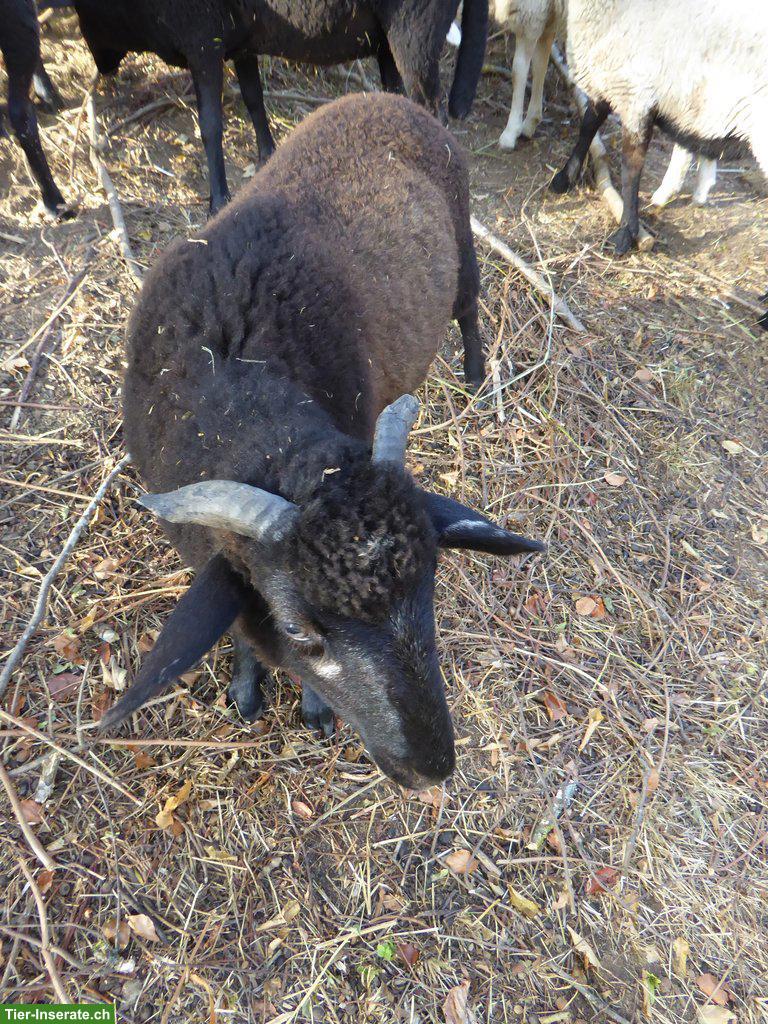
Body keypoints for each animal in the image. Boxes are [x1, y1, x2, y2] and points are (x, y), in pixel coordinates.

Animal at [67, 0, 489, 215]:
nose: (101, 69)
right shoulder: (240, 43)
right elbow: (254, 99)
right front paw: (267, 154)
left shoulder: (203, 43)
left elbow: (210, 125)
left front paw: (218, 199)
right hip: (387, 38)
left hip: (414, 32)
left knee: (430, 108)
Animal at [101, 93, 544, 790]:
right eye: (298, 629)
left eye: (432, 586)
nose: (433, 769)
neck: (239, 381)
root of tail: (384, 97)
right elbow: (237, 626)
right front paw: (247, 686)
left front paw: (312, 707)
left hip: (464, 234)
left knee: (470, 308)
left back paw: (476, 378)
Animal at [550, 0, 768, 254]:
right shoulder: (609, 83)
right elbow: (588, 126)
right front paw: (564, 178)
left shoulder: (636, 97)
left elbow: (631, 168)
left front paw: (626, 233)